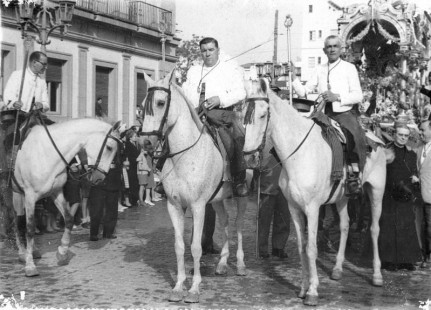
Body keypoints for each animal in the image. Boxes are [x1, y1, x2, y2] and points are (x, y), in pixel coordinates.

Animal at [11, 118, 123, 276]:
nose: (100, 179)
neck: (47, 153)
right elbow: (30, 228)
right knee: (18, 222)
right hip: (16, 194)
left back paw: (33, 250)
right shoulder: (30, 196)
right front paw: (30, 265)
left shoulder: (56, 192)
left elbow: (69, 219)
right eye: (109, 147)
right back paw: (22, 253)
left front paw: (62, 252)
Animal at [141, 73, 248, 302]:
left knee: (238, 225)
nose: (145, 142)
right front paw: (178, 286)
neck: (185, 154)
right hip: (217, 199)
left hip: (241, 196)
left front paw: (194, 288)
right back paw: (222, 263)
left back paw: (240, 264)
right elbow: (180, 246)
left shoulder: (198, 206)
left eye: (160, 102)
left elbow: (196, 247)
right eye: (144, 104)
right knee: (225, 222)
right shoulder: (174, 206)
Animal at [241, 78, 394, 306]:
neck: (299, 153)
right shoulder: (294, 208)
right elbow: (301, 247)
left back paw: (377, 275)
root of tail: (376, 138)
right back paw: (337, 269)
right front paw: (303, 288)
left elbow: (311, 248)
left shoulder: (312, 209)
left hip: (376, 191)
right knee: (345, 226)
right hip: (341, 198)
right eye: (242, 115)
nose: (249, 158)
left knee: (375, 229)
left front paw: (312, 291)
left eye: (261, 115)